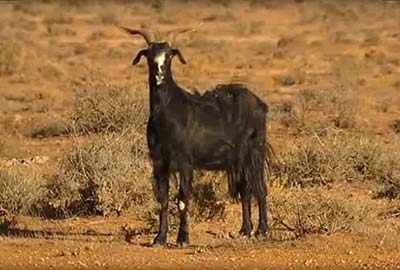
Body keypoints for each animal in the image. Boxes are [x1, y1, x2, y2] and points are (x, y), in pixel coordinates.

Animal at [115, 24, 272, 247]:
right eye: (150, 56)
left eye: (169, 56)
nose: (159, 74)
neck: (168, 113)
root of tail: (259, 103)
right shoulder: (159, 163)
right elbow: (163, 200)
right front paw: (159, 238)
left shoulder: (184, 162)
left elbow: (182, 199)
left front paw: (182, 238)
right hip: (238, 160)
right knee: (245, 188)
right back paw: (245, 230)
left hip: (254, 152)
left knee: (259, 187)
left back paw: (262, 230)